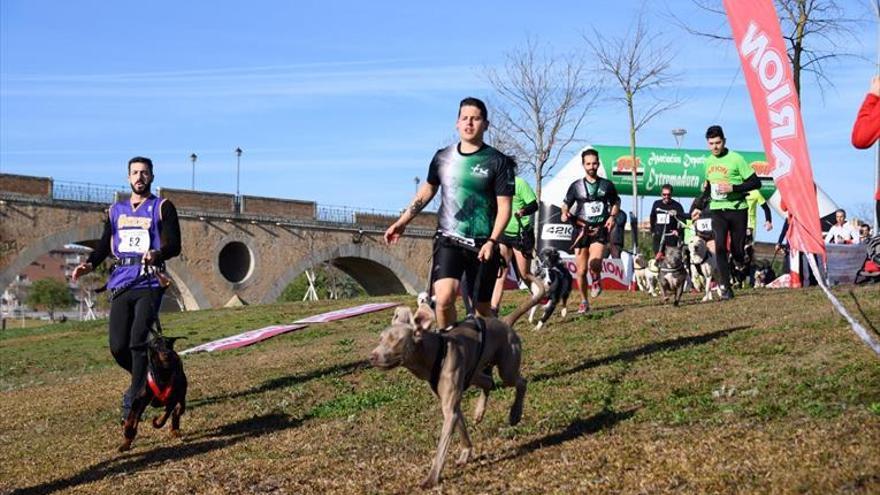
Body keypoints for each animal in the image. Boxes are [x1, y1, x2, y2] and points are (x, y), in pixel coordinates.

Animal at [366, 280, 544, 488]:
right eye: (380, 339)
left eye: (396, 340)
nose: (371, 357)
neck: (435, 352)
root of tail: (504, 322)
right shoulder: (451, 404)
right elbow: (462, 430)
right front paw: (466, 453)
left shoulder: (450, 407)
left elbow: (441, 449)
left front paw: (432, 478)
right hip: (474, 372)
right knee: (489, 382)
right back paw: (479, 412)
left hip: (507, 368)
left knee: (521, 382)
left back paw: (515, 413)